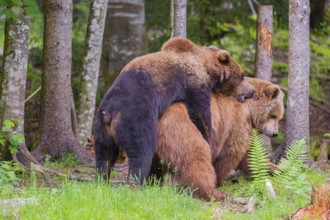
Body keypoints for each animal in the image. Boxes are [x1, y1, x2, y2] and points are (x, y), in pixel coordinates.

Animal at [93, 37, 255, 186]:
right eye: (242, 75)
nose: (252, 91)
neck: (207, 69)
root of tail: (110, 113)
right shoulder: (194, 85)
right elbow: (200, 115)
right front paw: (207, 138)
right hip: (134, 115)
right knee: (141, 149)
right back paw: (136, 182)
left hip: (101, 124)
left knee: (104, 154)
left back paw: (102, 180)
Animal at [151, 77, 284, 201]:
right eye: (274, 115)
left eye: (279, 117)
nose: (275, 133)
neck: (249, 110)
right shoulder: (236, 122)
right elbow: (231, 152)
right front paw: (220, 181)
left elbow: (250, 155)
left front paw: (275, 169)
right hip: (182, 127)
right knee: (195, 157)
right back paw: (213, 193)